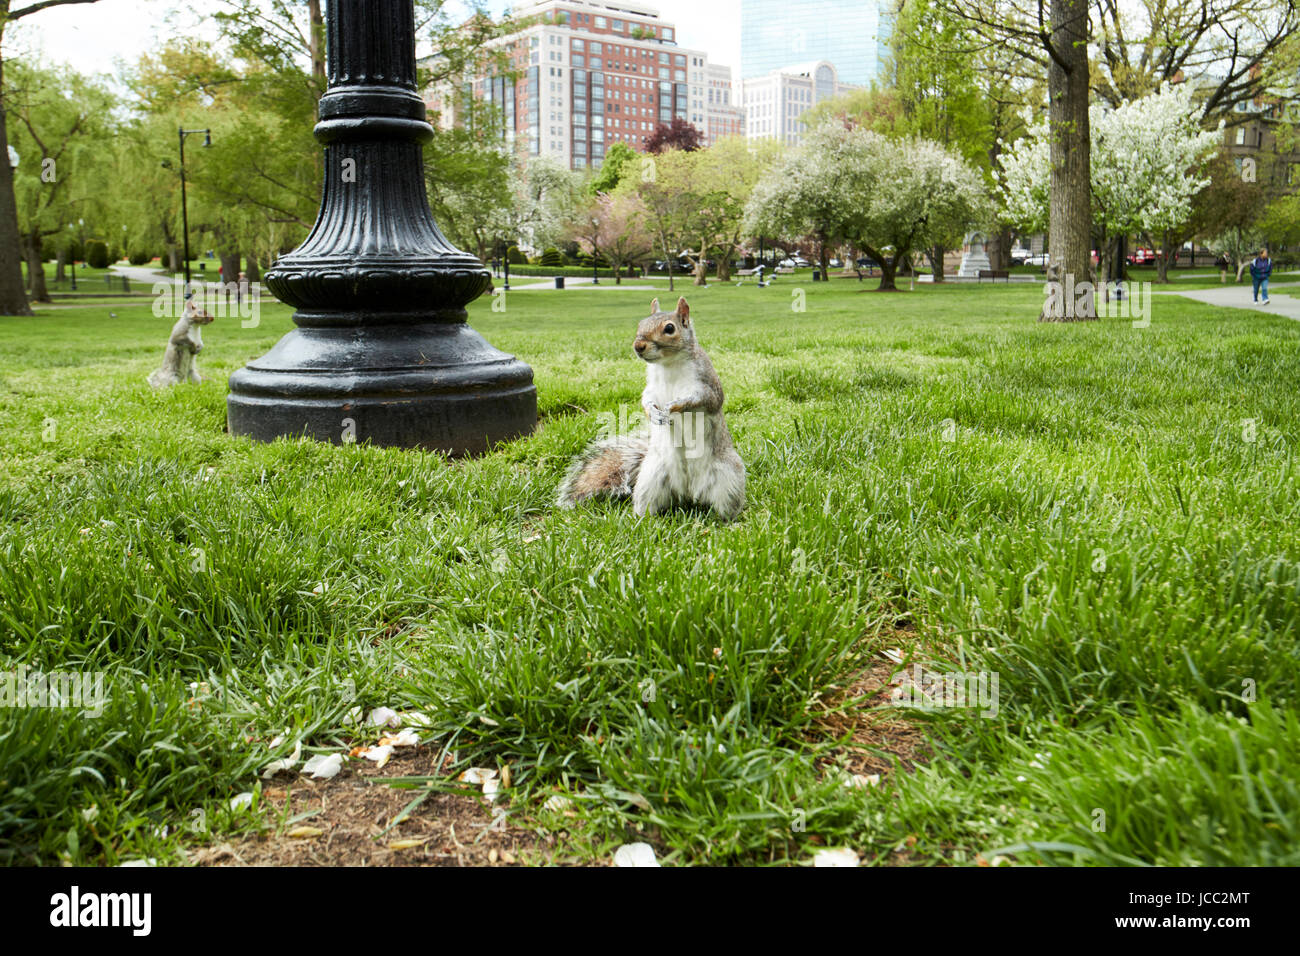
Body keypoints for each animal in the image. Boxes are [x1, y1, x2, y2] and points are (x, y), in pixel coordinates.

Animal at [553, 299, 748, 522]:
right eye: (640, 323)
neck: (668, 364)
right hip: (651, 478)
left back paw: (729, 522)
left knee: (726, 507)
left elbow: (705, 400)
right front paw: (653, 413)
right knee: (648, 505)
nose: (638, 346)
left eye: (669, 328)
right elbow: (646, 399)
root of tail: (689, 493)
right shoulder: (651, 386)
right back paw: (640, 520)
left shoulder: (707, 384)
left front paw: (674, 406)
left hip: (728, 478)